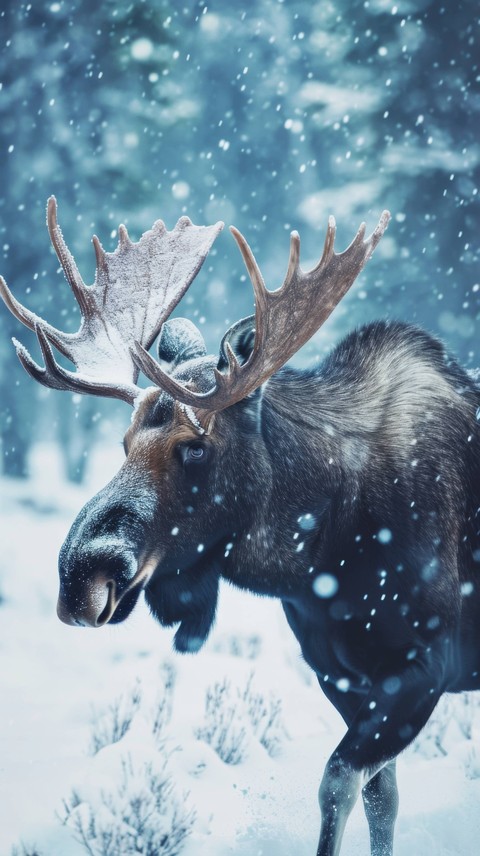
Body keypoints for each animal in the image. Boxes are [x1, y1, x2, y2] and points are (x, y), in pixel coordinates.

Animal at [1, 197, 480, 856]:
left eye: (195, 447)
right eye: (123, 442)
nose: (80, 575)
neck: (319, 559)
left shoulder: (426, 665)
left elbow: (338, 781)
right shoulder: (338, 673)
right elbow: (381, 797)